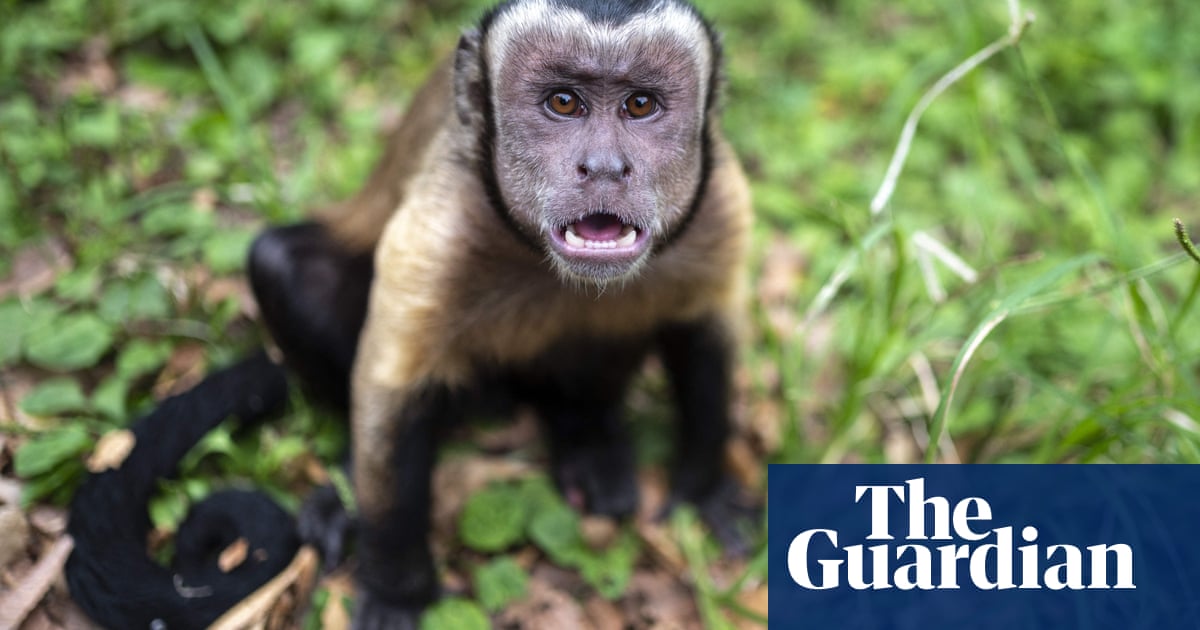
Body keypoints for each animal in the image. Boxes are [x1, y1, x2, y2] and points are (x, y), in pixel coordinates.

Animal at [65, 0, 755, 628]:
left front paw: (705, 486)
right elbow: (390, 397)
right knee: (282, 263)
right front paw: (398, 592)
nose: (606, 168)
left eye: (640, 105)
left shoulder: (718, 205)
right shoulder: (442, 230)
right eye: (564, 103)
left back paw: (585, 433)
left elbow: (706, 337)